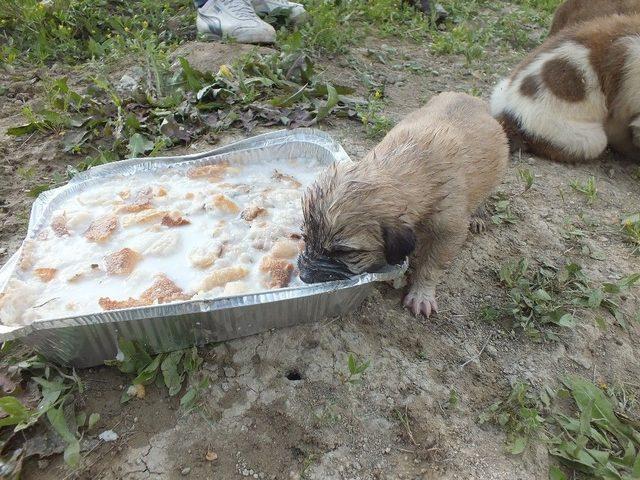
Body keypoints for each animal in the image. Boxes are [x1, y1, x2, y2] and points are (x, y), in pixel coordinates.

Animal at [298, 93, 508, 318]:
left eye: (343, 252)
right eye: (305, 238)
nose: (303, 276)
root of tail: (472, 98)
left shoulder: (449, 231)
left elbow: (431, 265)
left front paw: (422, 294)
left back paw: (478, 215)